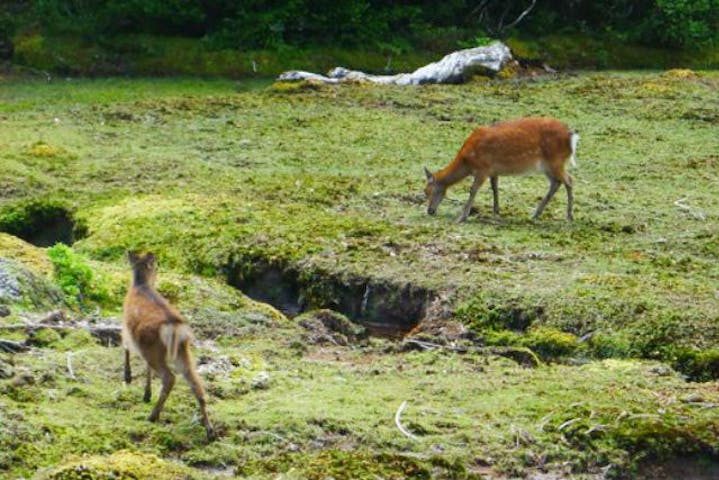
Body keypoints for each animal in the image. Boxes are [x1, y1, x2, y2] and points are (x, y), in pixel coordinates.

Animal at [122, 251, 217, 442]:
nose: (157, 274)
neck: (139, 285)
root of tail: (175, 328)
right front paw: (146, 394)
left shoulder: (127, 328)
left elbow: (125, 347)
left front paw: (127, 377)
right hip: (182, 352)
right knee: (197, 385)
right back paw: (210, 431)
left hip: (155, 351)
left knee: (169, 377)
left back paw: (153, 416)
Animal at [422, 116, 580, 223]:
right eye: (425, 192)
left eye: (430, 191)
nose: (430, 211)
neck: (467, 161)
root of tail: (571, 136)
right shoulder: (493, 171)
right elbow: (495, 188)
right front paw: (496, 212)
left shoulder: (483, 168)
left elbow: (473, 190)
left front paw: (462, 217)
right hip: (547, 166)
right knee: (556, 183)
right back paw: (535, 214)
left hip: (556, 160)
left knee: (569, 180)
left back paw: (569, 216)